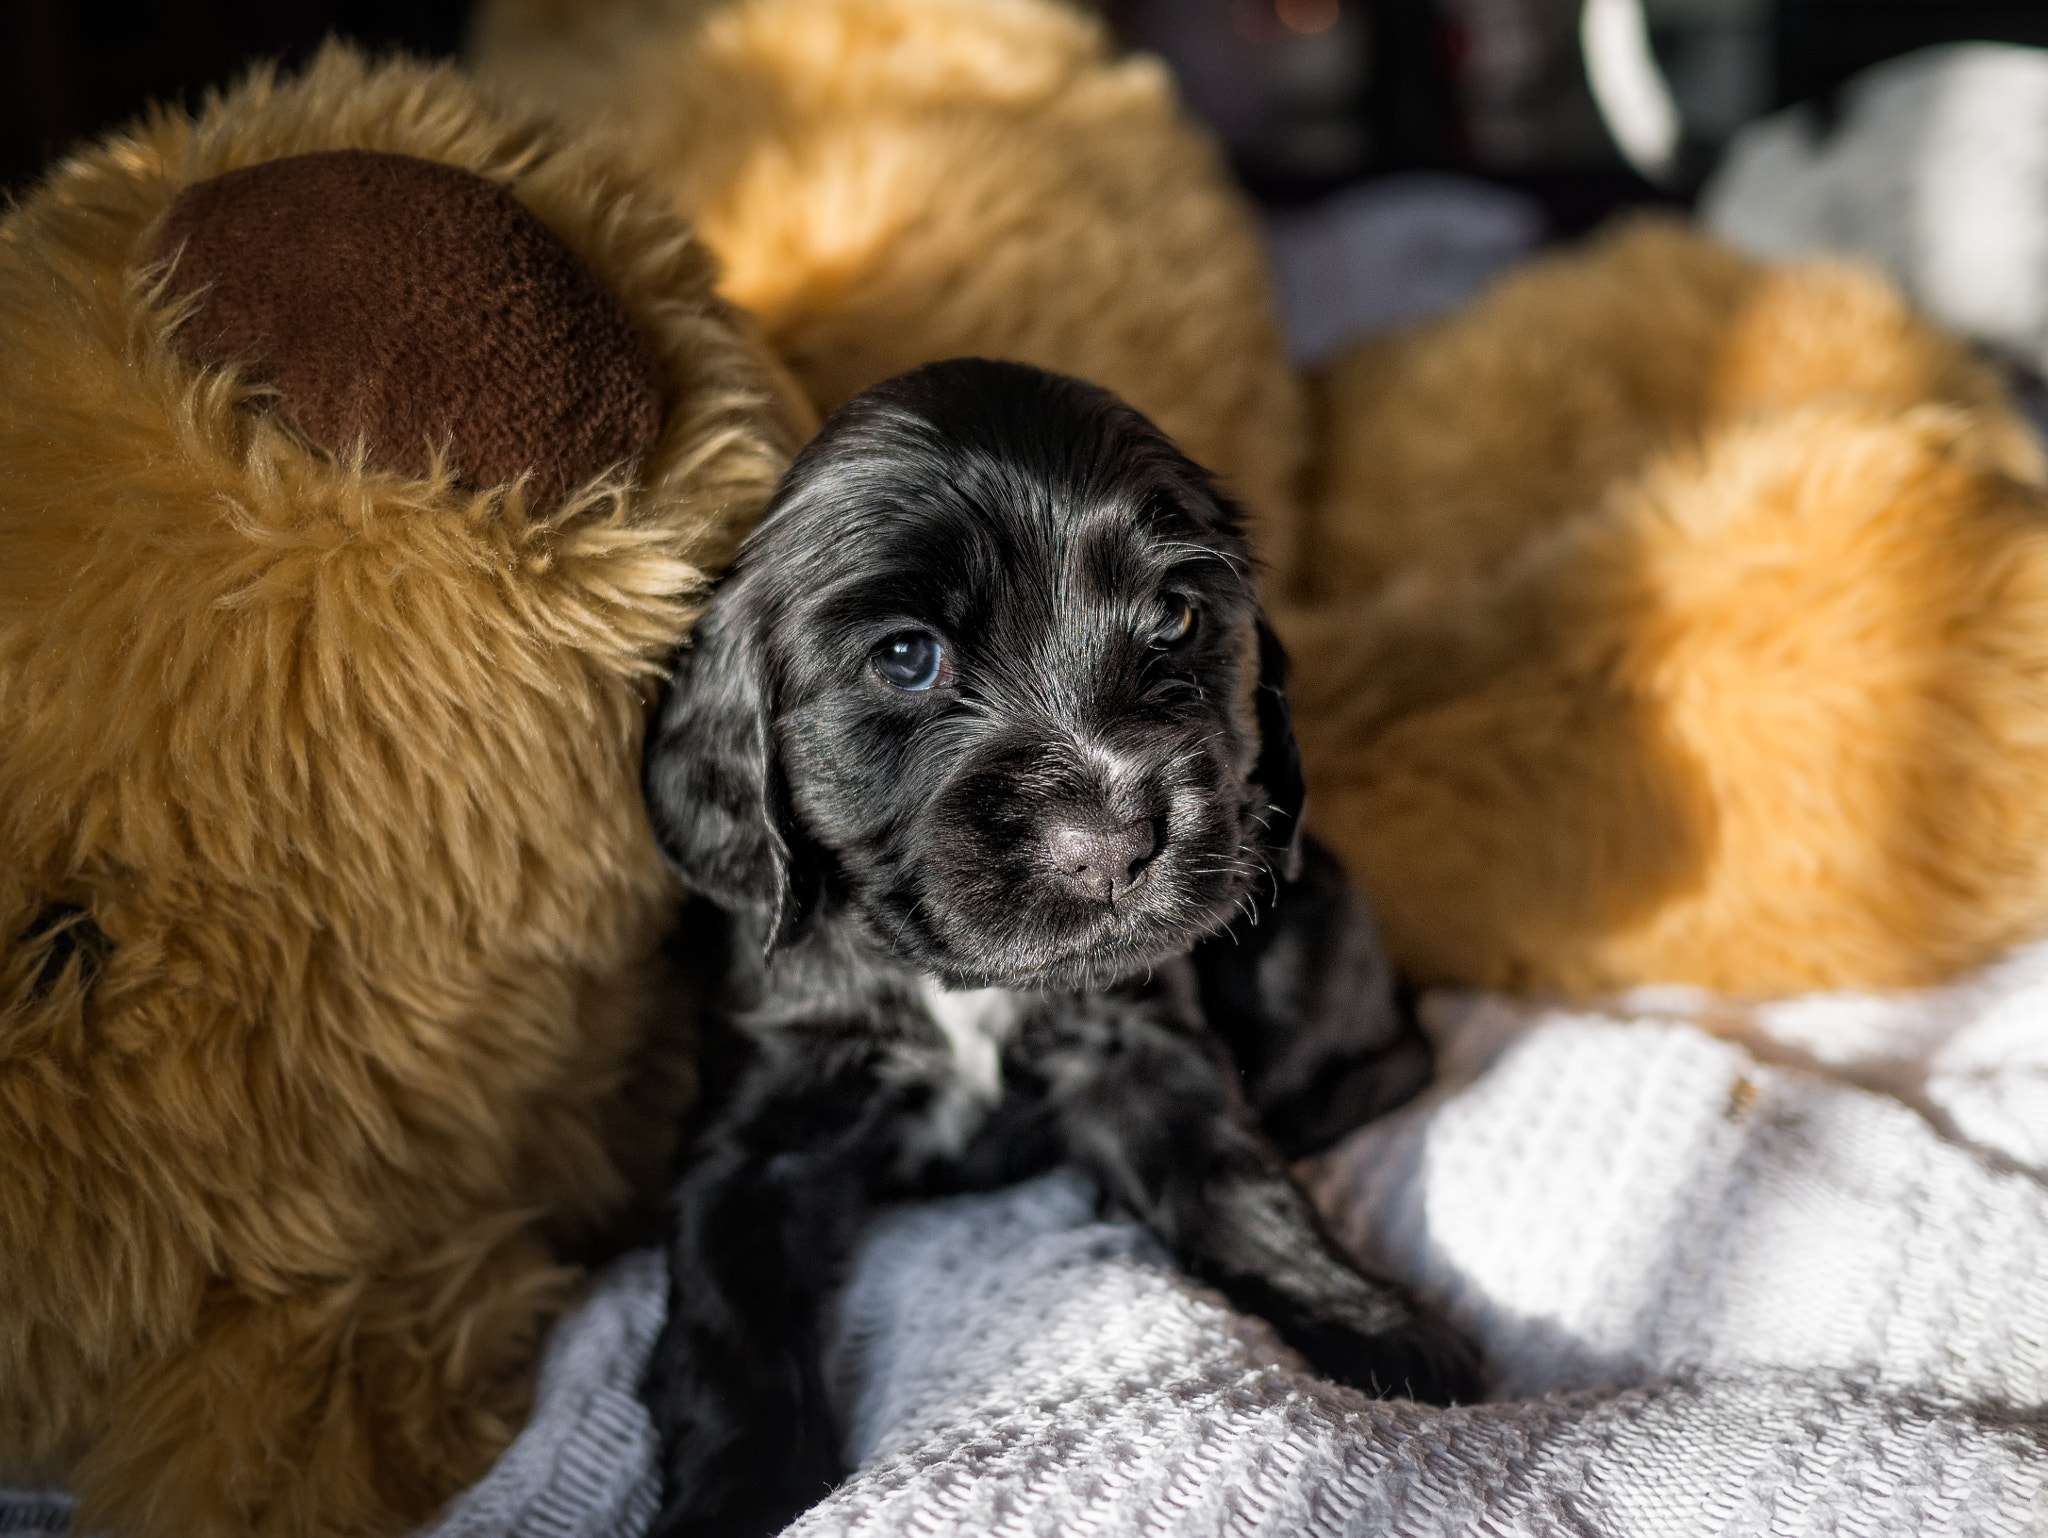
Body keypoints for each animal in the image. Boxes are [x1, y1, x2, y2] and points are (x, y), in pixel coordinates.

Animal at [634, 364, 1474, 1538]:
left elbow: (1238, 1181)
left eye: (1174, 616)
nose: (1114, 845)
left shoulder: (1139, 1042)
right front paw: (736, 1501)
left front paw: (1372, 1324)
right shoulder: (759, 1127)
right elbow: (731, 1327)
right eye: (906, 656)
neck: (953, 983)